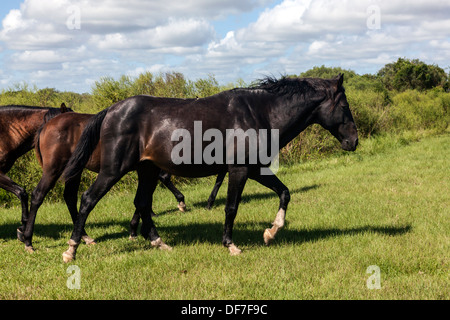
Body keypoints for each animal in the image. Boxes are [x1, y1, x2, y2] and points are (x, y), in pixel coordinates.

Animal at [60, 75, 358, 262]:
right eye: (344, 105)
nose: (353, 141)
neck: (258, 113)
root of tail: (111, 110)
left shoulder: (256, 169)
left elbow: (285, 193)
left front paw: (271, 232)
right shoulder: (239, 170)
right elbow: (231, 207)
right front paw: (231, 245)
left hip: (147, 170)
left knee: (142, 203)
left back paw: (159, 242)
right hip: (114, 170)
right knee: (87, 199)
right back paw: (72, 249)